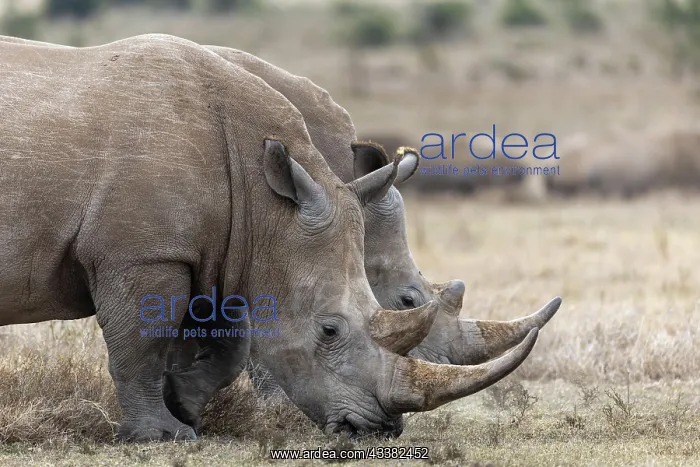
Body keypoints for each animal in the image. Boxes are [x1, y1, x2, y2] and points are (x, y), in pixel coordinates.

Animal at [0, 34, 542, 442]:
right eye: (330, 331)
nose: (381, 429)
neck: (268, 201)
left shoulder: (220, 250)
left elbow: (227, 346)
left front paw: (186, 403)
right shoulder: (145, 254)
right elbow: (142, 344)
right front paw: (164, 436)